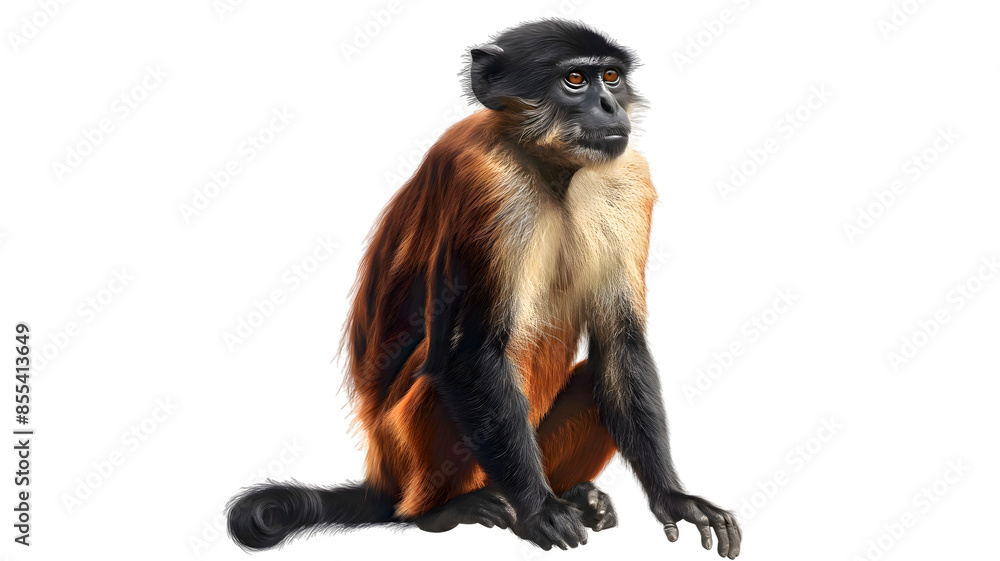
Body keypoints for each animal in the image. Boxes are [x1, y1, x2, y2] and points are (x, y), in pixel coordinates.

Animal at [227, 18, 742, 557]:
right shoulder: (485, 183)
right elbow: (467, 354)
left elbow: (619, 345)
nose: (609, 104)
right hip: (408, 452)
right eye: (575, 80)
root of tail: (385, 479)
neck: (547, 170)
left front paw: (673, 497)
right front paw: (539, 510)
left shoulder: (625, 180)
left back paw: (575, 496)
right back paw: (445, 512)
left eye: (611, 77)